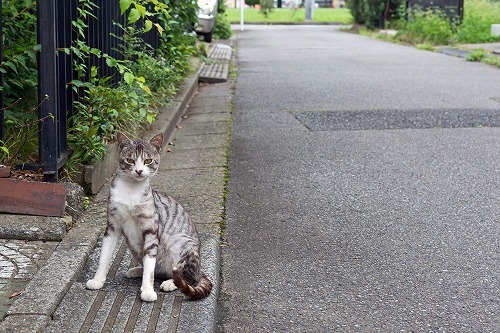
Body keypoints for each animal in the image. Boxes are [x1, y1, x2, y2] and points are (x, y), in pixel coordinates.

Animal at [86, 132, 211, 300]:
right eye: (130, 160)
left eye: (148, 161)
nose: (139, 170)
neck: (131, 190)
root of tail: (200, 269)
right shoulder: (112, 227)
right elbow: (104, 257)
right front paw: (97, 280)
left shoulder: (151, 229)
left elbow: (150, 265)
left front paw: (147, 290)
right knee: (156, 269)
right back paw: (136, 270)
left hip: (180, 241)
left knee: (189, 277)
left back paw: (171, 282)